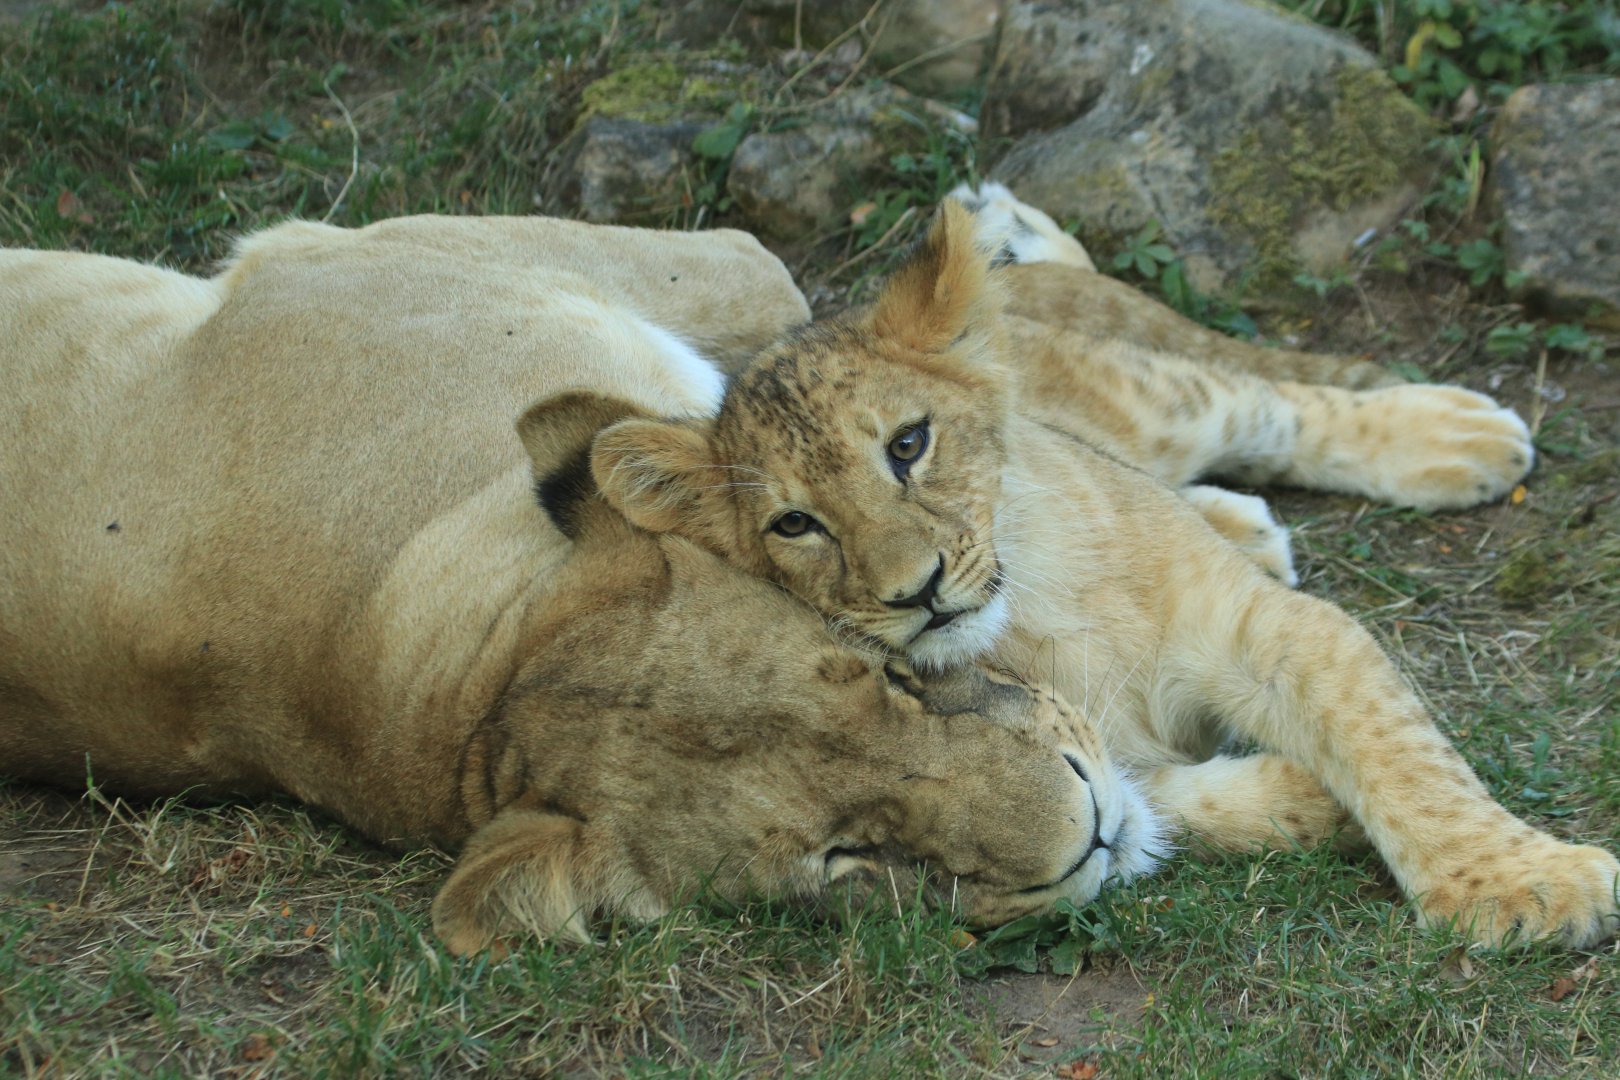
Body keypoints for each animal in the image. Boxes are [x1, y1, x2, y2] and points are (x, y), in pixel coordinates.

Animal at [0, 215, 1166, 955]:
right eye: (845, 857)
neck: (474, 682)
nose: (1090, 830)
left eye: (886, 678)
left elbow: (782, 284)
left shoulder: (361, 256)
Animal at [581, 188, 1619, 948]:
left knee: (1274, 407)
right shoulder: (1073, 744)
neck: (1037, 608)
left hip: (1159, 400)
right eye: (795, 523)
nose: (916, 592)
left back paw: (1457, 436)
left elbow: (1402, 754)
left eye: (909, 444)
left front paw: (1523, 885)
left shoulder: (1275, 630)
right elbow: (1158, 804)